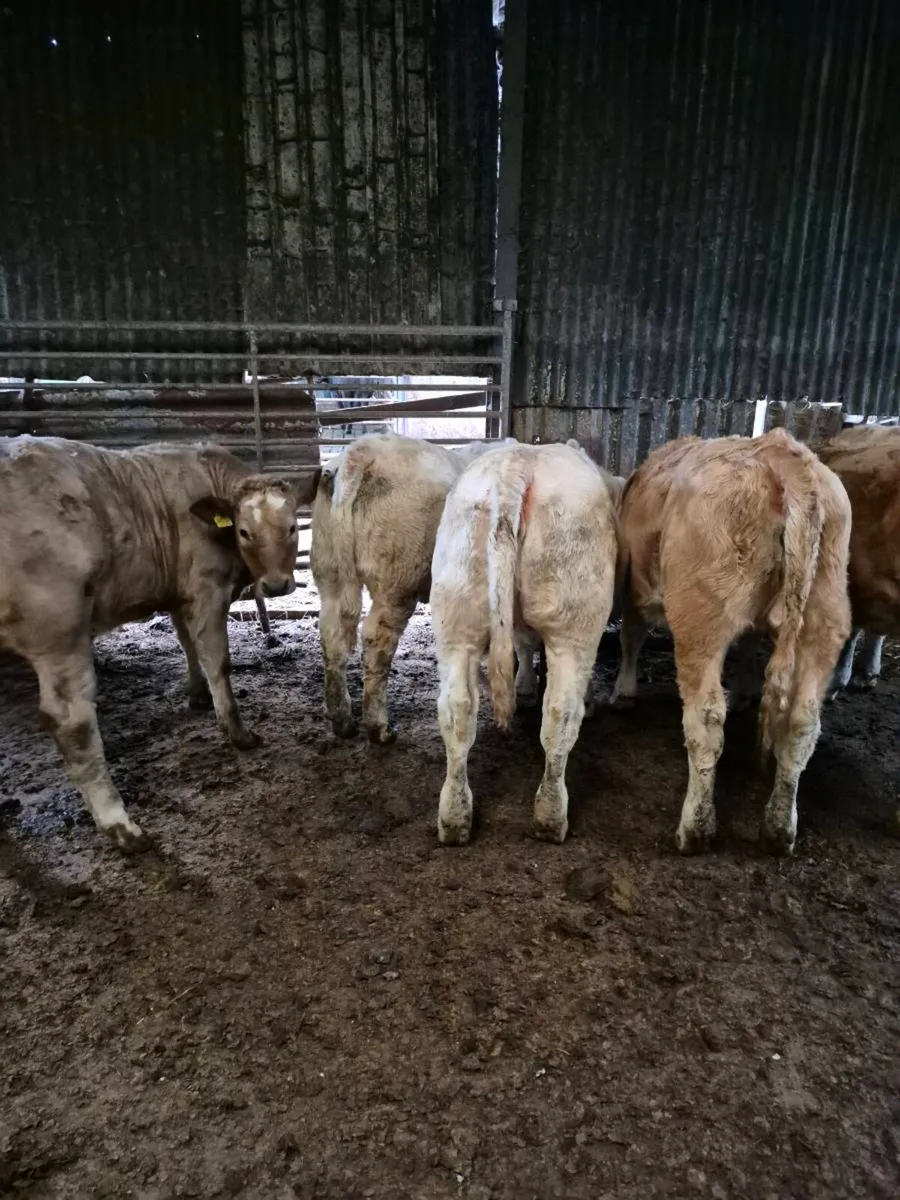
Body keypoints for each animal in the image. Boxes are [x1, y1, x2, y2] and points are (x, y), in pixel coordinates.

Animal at [0, 435, 317, 852]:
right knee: (73, 724)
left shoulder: (178, 594)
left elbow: (187, 644)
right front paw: (238, 732)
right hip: (59, 629)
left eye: (293, 527)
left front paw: (198, 695)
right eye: (244, 533)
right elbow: (217, 660)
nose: (277, 585)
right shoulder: (207, 589)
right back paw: (121, 825)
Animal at [309, 432, 515, 745]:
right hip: (397, 582)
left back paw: (341, 719)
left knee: (332, 635)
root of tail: (363, 450)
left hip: (330, 571)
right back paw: (379, 727)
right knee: (377, 641)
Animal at [430, 439, 620, 846]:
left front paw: (525, 687)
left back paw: (454, 818)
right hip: (574, 622)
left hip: (456, 616)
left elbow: (522, 643)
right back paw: (550, 816)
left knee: (456, 710)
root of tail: (516, 466)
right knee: (562, 712)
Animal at [610, 428, 852, 856]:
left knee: (706, 721)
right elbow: (748, 649)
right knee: (802, 722)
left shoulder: (633, 585)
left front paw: (623, 693)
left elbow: (631, 636)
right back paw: (779, 829)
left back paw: (696, 829)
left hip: (700, 620)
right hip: (824, 619)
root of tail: (782, 453)